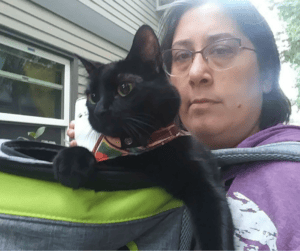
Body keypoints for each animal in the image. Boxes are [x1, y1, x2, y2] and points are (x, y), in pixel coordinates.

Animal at [53, 24, 234, 250]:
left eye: (124, 88)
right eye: (93, 97)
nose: (100, 110)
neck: (141, 149)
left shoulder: (206, 185)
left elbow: (215, 228)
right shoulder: (115, 164)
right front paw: (71, 159)